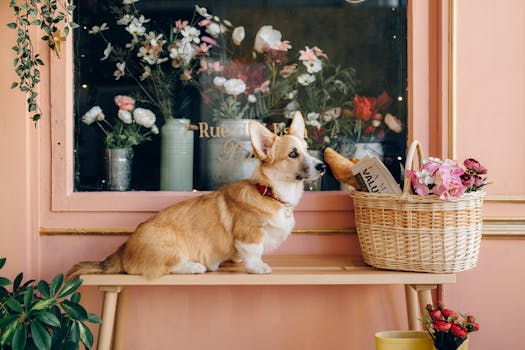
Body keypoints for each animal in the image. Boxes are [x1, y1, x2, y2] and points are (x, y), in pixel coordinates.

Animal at [66, 112, 324, 278]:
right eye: (293, 154)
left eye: (307, 150)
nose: (322, 166)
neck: (270, 192)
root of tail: (121, 251)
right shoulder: (249, 233)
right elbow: (254, 252)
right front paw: (258, 267)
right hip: (170, 247)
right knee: (166, 268)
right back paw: (194, 267)